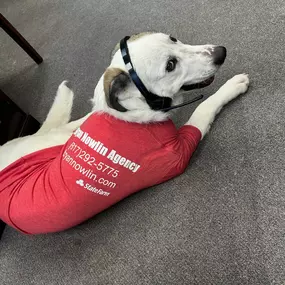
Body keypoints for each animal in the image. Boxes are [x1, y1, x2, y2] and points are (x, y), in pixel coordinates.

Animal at [0, 32, 248, 233]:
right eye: (170, 65)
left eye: (173, 39)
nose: (221, 52)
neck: (133, 109)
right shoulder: (177, 155)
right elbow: (203, 109)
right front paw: (232, 86)